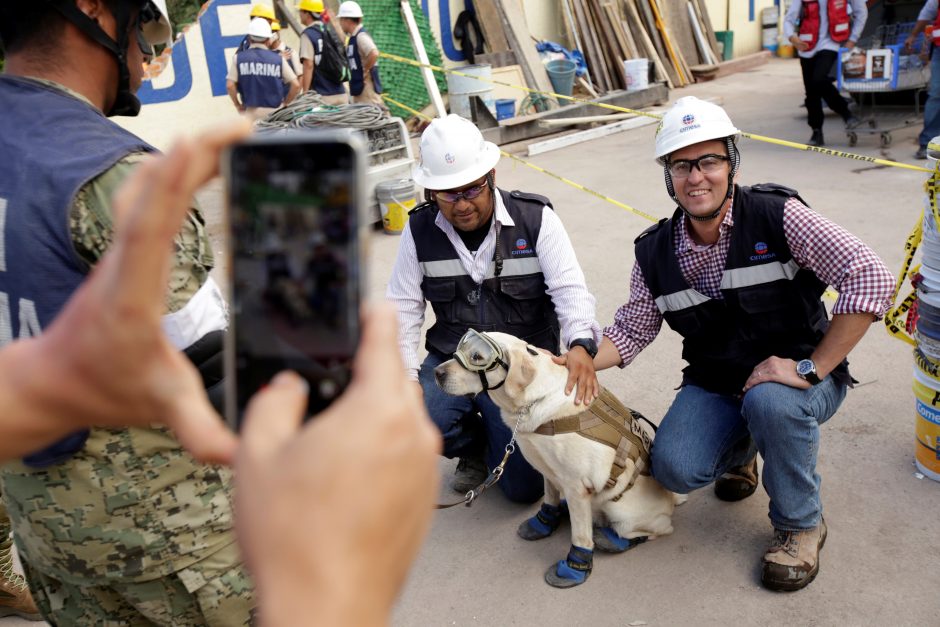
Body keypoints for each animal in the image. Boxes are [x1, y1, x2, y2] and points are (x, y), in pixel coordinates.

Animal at [434, 332, 684, 588]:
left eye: (477, 357)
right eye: (463, 346)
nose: (437, 372)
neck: (533, 400)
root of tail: (672, 500)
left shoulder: (576, 486)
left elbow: (581, 535)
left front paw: (574, 567)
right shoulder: (550, 472)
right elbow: (550, 499)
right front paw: (544, 522)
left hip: (621, 512)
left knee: (655, 530)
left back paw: (614, 538)